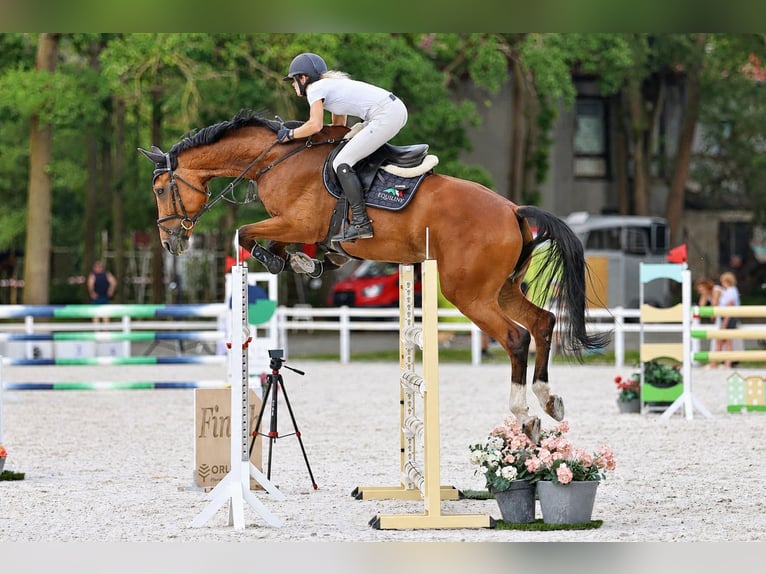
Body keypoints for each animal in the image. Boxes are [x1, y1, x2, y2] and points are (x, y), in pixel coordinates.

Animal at [139, 109, 609, 440]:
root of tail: (513, 210)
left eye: (161, 190)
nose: (170, 242)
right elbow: (283, 245)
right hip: (502, 289)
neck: (275, 158)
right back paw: (548, 400)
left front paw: (283, 261)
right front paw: (307, 262)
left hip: (469, 294)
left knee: (516, 337)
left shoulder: (296, 223)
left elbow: (246, 233)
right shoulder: (298, 228)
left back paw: (524, 414)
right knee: (543, 322)